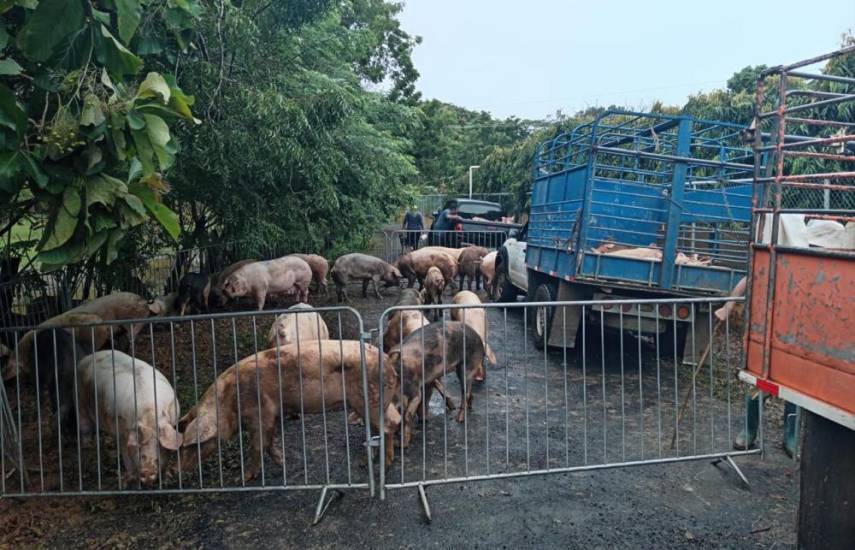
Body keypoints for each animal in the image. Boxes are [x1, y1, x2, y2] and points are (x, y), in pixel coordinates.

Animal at [178, 342, 404, 480]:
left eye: (195, 445)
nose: (174, 471)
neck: (228, 402)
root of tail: (388, 360)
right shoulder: (272, 416)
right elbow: (268, 442)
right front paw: (283, 461)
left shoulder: (260, 413)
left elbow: (257, 446)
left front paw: (243, 478)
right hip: (374, 403)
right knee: (392, 421)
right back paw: (367, 463)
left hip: (369, 402)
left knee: (387, 426)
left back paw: (382, 465)